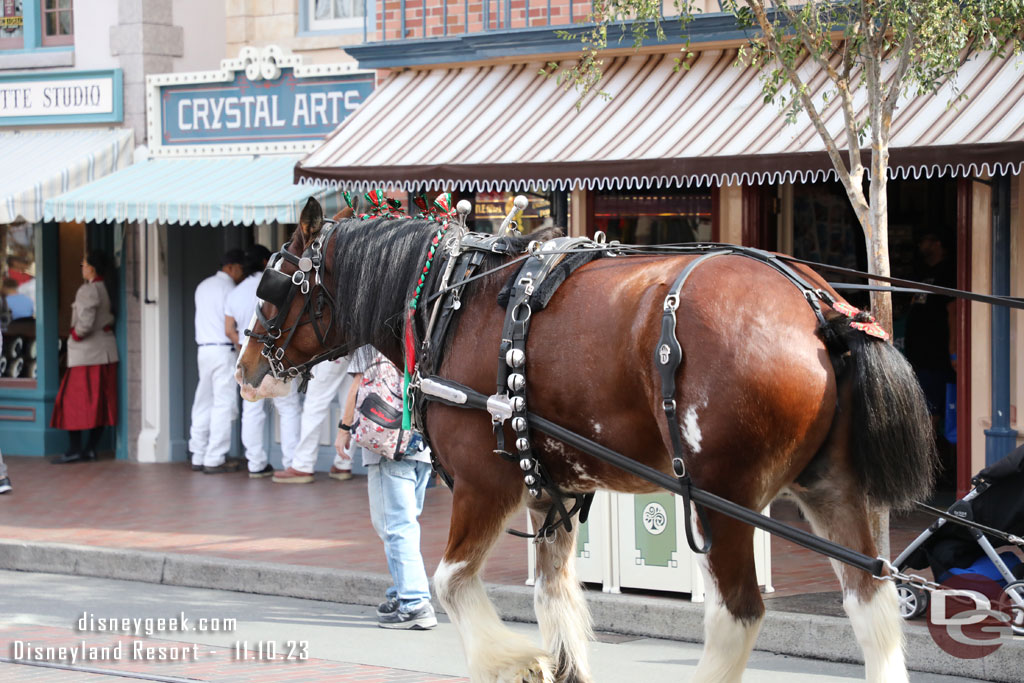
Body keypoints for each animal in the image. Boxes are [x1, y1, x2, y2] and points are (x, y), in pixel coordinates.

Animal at [237, 198, 937, 683]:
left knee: (736, 613)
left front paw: (515, 660)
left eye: (272, 290)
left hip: (722, 498)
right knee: (872, 603)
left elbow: (450, 582)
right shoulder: (548, 491)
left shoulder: (485, 482)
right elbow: (554, 599)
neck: (450, 302)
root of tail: (819, 307)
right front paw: (551, 661)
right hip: (831, 488)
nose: (245, 371)